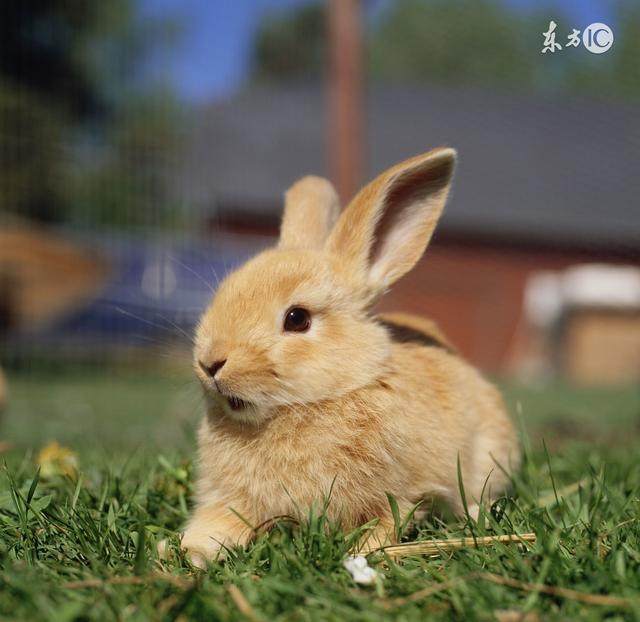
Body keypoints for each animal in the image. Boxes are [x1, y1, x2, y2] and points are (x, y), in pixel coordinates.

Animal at [180, 149, 520, 568]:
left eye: (297, 318)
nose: (210, 362)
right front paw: (190, 550)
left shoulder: (398, 495)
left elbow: (387, 521)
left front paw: (362, 555)